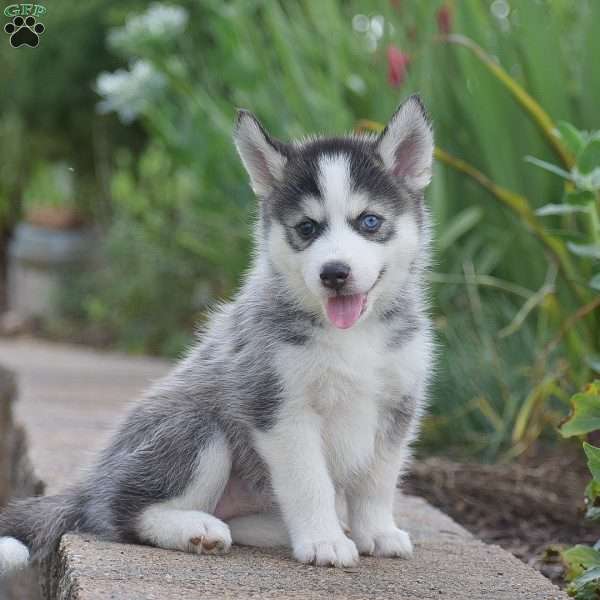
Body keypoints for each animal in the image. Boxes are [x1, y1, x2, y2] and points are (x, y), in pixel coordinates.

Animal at [0, 94, 432, 572]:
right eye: (307, 228)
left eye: (369, 222)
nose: (334, 273)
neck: (352, 337)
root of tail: (92, 483)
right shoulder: (279, 407)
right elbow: (309, 483)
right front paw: (324, 541)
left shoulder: (397, 405)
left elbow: (378, 481)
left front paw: (378, 533)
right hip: (197, 431)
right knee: (122, 513)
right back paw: (195, 530)